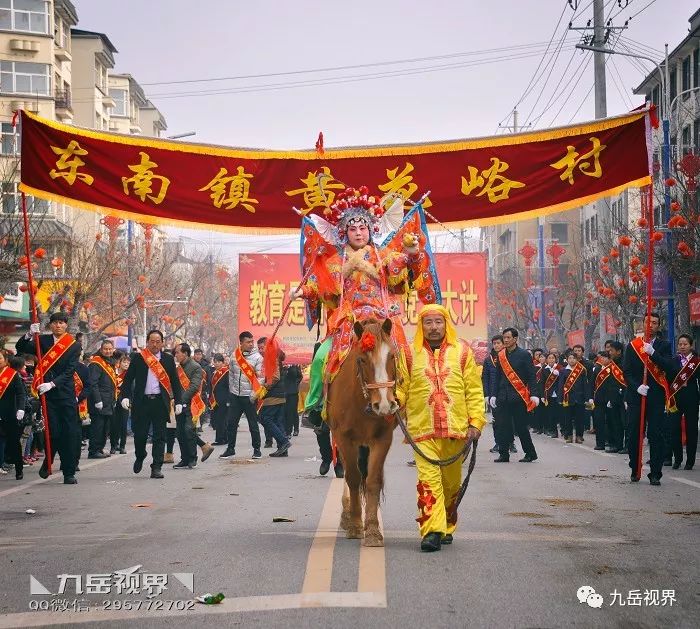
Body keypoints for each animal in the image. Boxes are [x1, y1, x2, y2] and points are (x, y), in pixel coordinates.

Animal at [324, 318, 396, 544]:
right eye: (362, 359)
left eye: (392, 356)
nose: (384, 405)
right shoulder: (344, 437)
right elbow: (354, 477)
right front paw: (355, 525)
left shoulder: (383, 438)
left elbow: (373, 480)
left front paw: (372, 529)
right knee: (347, 472)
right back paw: (347, 516)